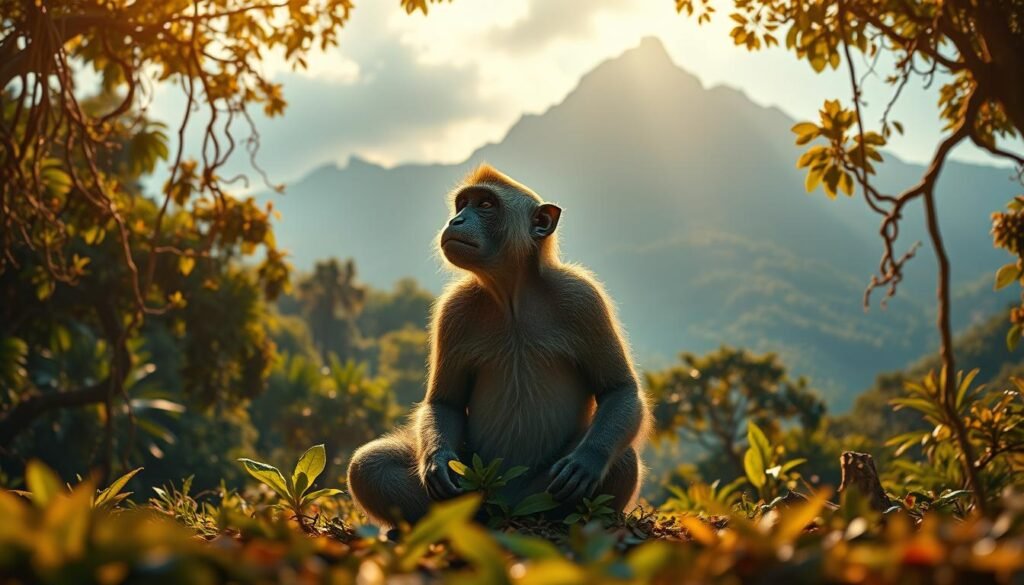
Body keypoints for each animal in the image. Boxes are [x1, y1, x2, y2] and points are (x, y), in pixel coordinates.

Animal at [346, 164, 650, 528]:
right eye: (463, 204)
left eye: (486, 205)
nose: (456, 220)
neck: (512, 296)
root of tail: (506, 511)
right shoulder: (454, 309)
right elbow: (445, 402)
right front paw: (438, 460)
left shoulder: (583, 298)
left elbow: (619, 390)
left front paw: (586, 461)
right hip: (478, 484)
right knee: (370, 464)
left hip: (535, 494)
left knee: (622, 458)